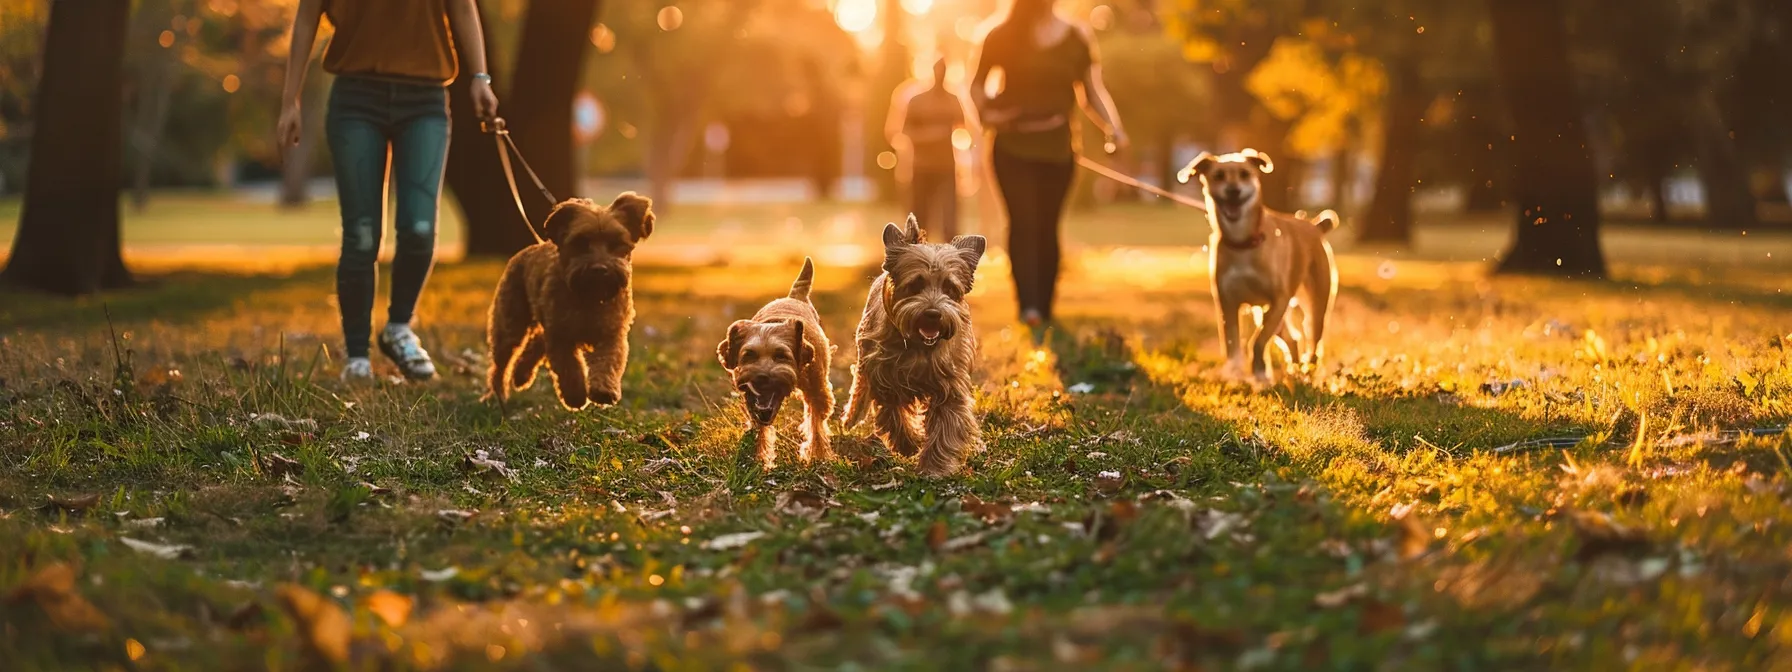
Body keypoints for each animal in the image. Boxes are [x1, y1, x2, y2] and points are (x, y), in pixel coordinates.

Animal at [487, 191, 655, 408]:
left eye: (616, 244)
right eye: (581, 243)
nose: (600, 269)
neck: (589, 298)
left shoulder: (611, 334)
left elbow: (608, 362)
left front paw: (603, 390)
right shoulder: (561, 336)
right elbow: (569, 367)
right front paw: (575, 396)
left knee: (536, 343)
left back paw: (521, 375)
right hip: (510, 325)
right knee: (502, 363)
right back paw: (499, 393)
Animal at [713, 258, 831, 469]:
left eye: (781, 356)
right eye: (749, 355)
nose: (762, 377)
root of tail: (794, 297)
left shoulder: (817, 392)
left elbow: (816, 424)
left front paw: (818, 456)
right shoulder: (752, 401)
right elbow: (760, 429)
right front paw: (758, 460)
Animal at [842, 216, 989, 480]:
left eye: (949, 288)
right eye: (915, 285)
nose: (933, 314)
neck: (920, 346)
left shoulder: (950, 388)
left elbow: (945, 426)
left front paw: (934, 467)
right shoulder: (883, 378)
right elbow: (893, 414)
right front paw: (908, 443)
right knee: (859, 391)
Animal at [1175, 149, 1333, 387]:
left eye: (1245, 174)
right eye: (1218, 176)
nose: (1233, 191)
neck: (1244, 243)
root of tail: (1314, 227)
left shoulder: (1279, 300)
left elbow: (1257, 340)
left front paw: (1259, 372)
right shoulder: (1227, 304)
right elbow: (1231, 342)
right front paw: (1234, 373)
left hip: (1315, 303)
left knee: (1313, 338)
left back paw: (1308, 371)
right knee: (1292, 338)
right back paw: (1294, 370)